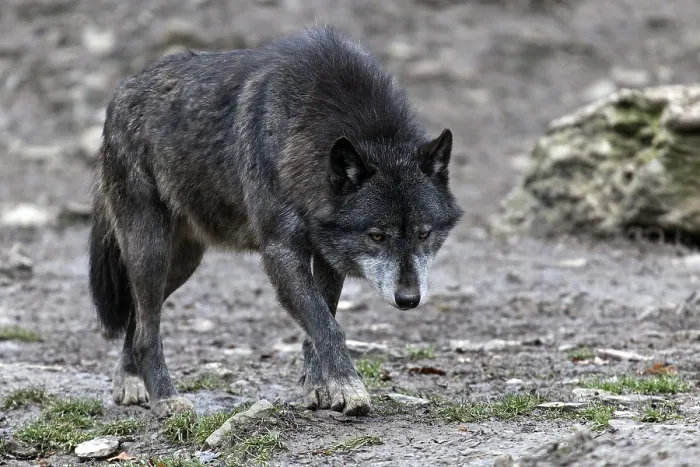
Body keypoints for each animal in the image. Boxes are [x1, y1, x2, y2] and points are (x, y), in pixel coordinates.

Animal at [88, 25, 463, 418]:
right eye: (376, 236)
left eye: (424, 234)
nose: (408, 299)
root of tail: (120, 91)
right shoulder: (280, 253)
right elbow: (326, 325)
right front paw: (349, 388)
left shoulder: (328, 256)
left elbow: (321, 321)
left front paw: (320, 389)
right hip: (152, 252)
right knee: (147, 330)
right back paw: (165, 398)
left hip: (181, 264)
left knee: (138, 318)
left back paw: (129, 380)